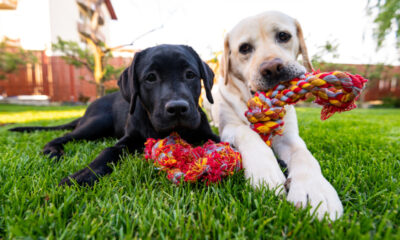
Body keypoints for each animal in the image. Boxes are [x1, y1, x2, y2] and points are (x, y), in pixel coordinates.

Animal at [10, 44, 219, 186]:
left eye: (190, 75)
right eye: (150, 77)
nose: (177, 108)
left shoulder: (207, 133)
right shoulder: (129, 138)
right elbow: (108, 151)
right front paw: (83, 175)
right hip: (97, 123)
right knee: (64, 136)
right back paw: (52, 151)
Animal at [208, 11, 342, 221]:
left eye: (283, 36)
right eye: (244, 48)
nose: (272, 68)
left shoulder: (289, 137)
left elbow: (304, 155)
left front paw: (315, 190)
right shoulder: (229, 127)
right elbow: (247, 133)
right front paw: (265, 173)